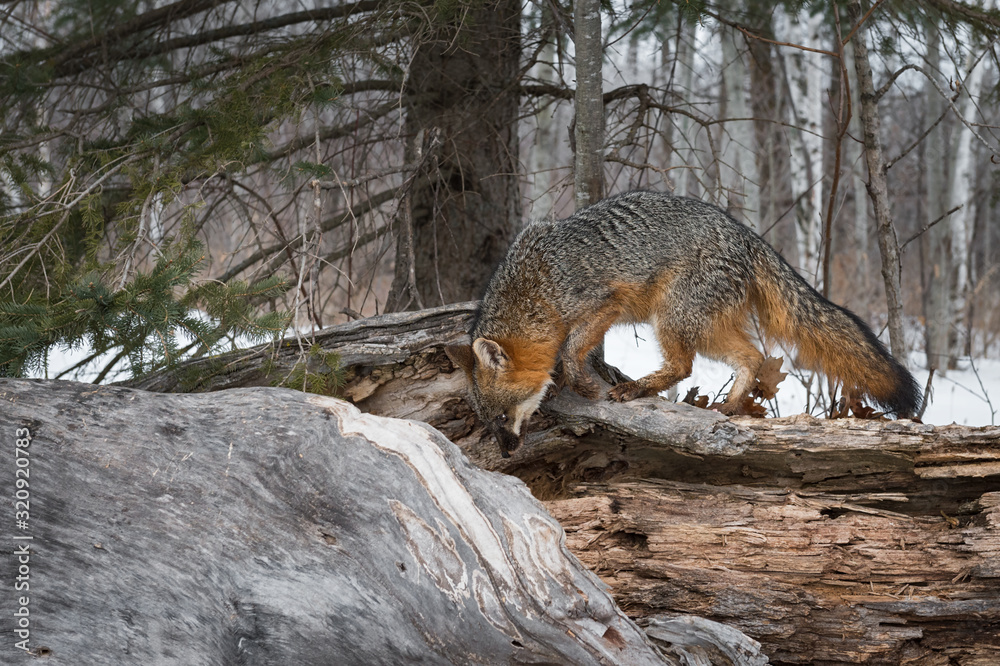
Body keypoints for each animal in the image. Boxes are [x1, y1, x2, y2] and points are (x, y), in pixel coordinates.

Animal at [447, 190, 921, 458]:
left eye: (503, 416)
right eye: (488, 422)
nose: (506, 455)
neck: (536, 291)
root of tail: (746, 234)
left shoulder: (604, 303)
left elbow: (572, 345)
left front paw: (578, 381)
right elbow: (572, 348)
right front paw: (569, 379)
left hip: (671, 319)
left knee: (684, 367)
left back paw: (638, 388)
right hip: (704, 329)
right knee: (752, 357)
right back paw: (729, 409)